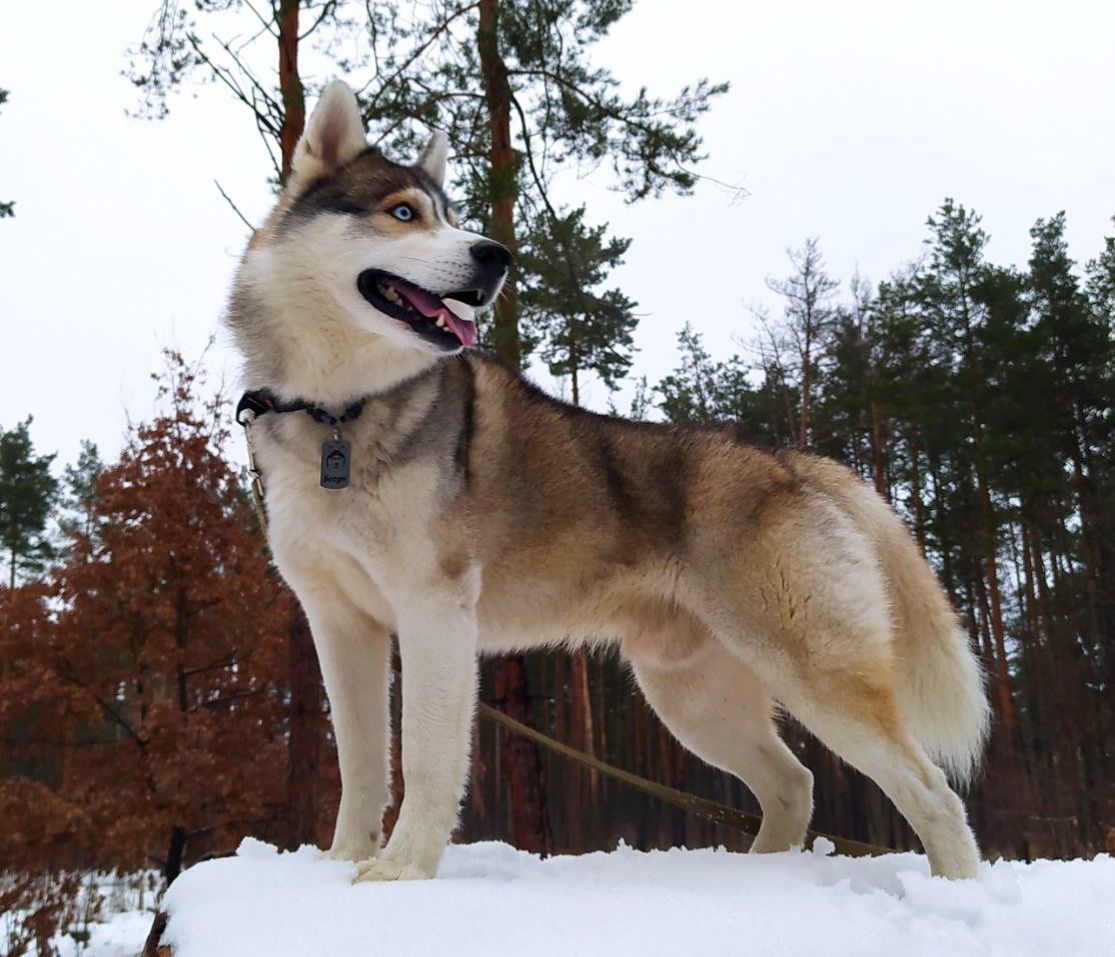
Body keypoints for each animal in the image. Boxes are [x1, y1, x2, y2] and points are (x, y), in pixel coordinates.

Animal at [224, 81, 985, 878]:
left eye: (451, 216)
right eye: (403, 212)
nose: (494, 254)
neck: (337, 411)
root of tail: (790, 462)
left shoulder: (435, 612)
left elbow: (427, 763)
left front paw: (401, 872)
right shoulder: (340, 623)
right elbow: (362, 764)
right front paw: (340, 863)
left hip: (808, 669)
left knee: (931, 792)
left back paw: (954, 886)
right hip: (690, 694)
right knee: (794, 782)